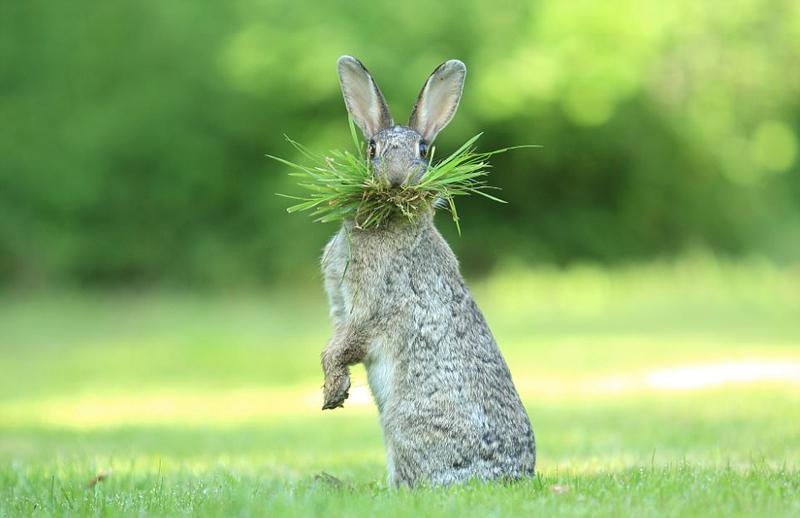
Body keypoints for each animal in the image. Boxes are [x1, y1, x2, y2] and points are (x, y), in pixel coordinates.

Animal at [320, 57, 536, 492]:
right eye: (372, 148)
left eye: (423, 150)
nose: (397, 177)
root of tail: (509, 478)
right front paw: (335, 391)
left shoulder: (368, 307)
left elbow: (344, 345)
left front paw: (333, 393)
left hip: (402, 422)